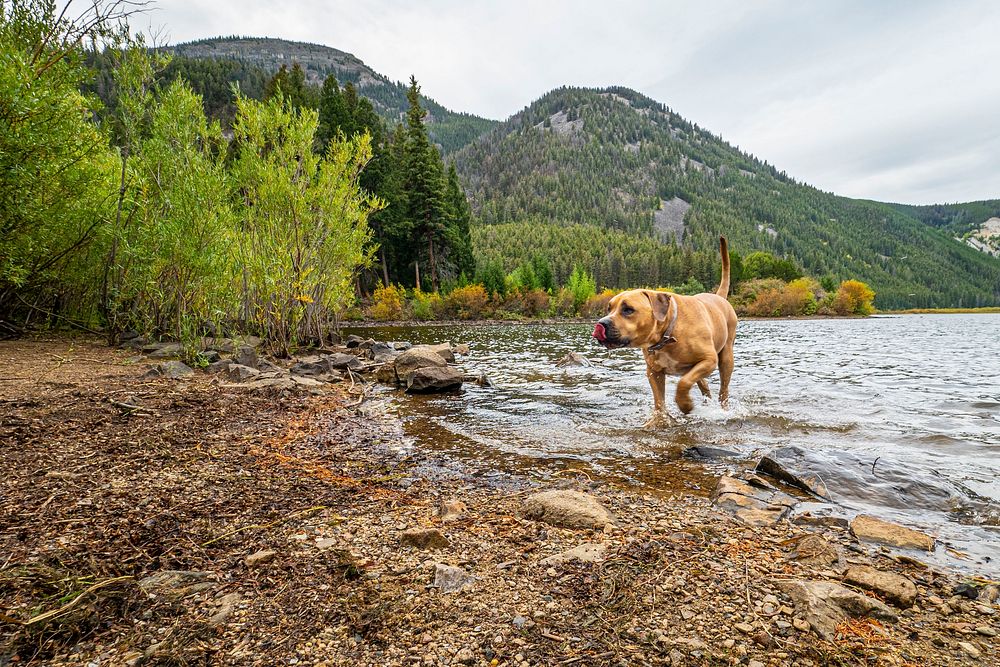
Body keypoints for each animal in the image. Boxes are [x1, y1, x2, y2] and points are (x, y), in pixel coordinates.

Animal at [588, 239, 740, 428]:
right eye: (609, 308)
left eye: (628, 309)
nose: (601, 323)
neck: (667, 334)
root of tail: (719, 297)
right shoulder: (654, 372)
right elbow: (659, 400)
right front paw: (659, 420)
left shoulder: (709, 359)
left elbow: (683, 383)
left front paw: (685, 404)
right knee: (703, 383)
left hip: (725, 357)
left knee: (723, 389)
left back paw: (722, 408)